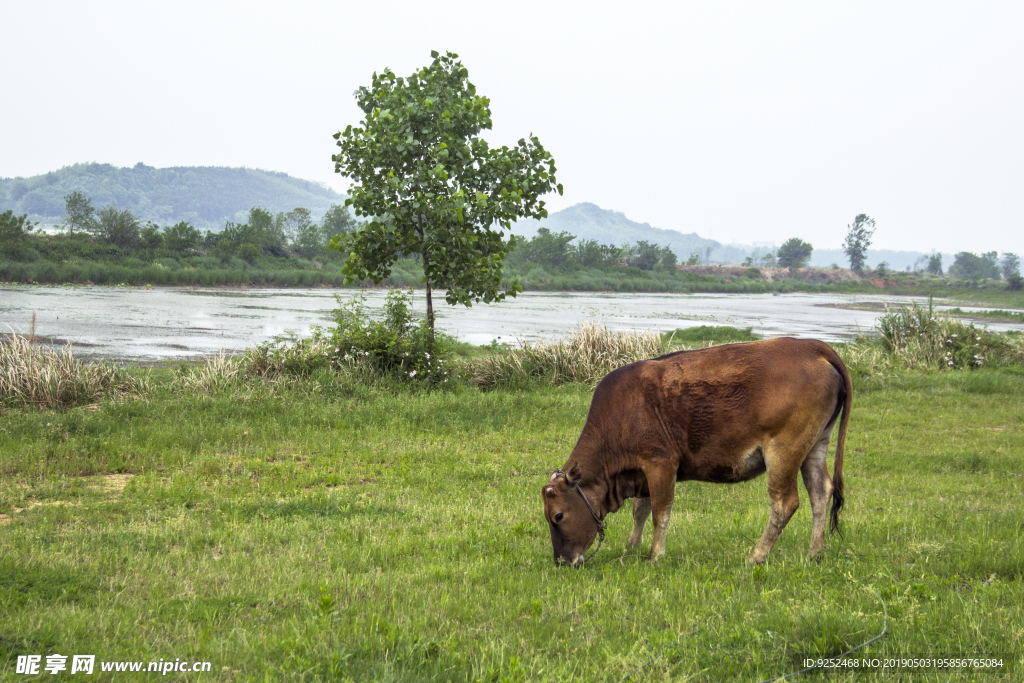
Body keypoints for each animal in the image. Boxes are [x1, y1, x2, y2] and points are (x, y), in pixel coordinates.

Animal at [540, 335, 851, 565]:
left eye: (558, 516)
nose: (562, 562)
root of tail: (812, 347)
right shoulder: (643, 472)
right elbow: (640, 510)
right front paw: (631, 547)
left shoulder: (661, 463)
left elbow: (660, 511)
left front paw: (655, 556)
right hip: (816, 445)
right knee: (821, 492)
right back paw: (815, 553)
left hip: (784, 451)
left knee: (785, 502)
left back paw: (757, 556)